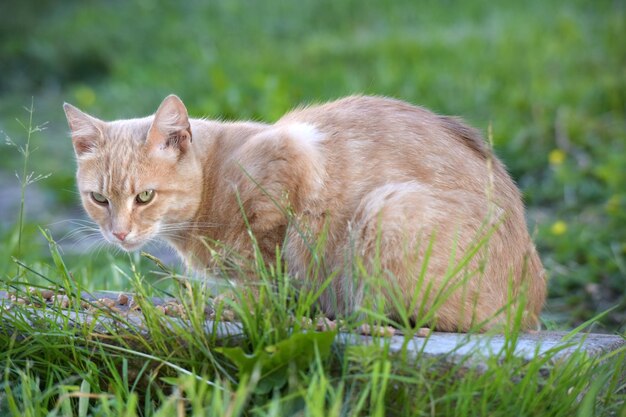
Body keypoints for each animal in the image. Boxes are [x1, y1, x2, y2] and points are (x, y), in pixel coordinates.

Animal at [61, 95, 544, 332]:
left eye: (144, 196)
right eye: (100, 199)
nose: (119, 233)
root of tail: (533, 306)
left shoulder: (292, 164)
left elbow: (270, 274)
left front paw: (241, 308)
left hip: (387, 210)